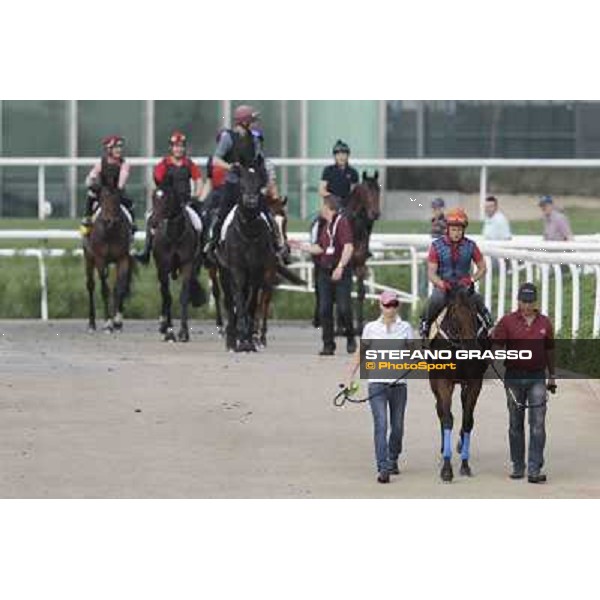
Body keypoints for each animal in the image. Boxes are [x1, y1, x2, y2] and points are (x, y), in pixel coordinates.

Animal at [82, 186, 132, 330]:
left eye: (117, 199)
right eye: (103, 199)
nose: (110, 221)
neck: (110, 233)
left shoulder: (123, 258)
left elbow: (120, 288)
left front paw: (117, 321)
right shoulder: (100, 259)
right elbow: (105, 290)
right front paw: (108, 322)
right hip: (88, 257)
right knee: (91, 286)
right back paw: (92, 323)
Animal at [150, 188, 206, 342]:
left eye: (167, 199)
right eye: (153, 198)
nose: (153, 222)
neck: (174, 235)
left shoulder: (187, 265)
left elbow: (184, 296)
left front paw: (183, 332)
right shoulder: (163, 268)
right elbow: (167, 296)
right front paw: (169, 331)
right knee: (164, 294)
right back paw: (164, 325)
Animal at [426, 288, 488, 482]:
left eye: (475, 315)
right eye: (455, 317)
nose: (472, 349)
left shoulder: (475, 382)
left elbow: (468, 421)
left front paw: (465, 465)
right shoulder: (443, 381)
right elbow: (447, 419)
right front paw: (447, 469)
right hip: (434, 381)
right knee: (440, 410)